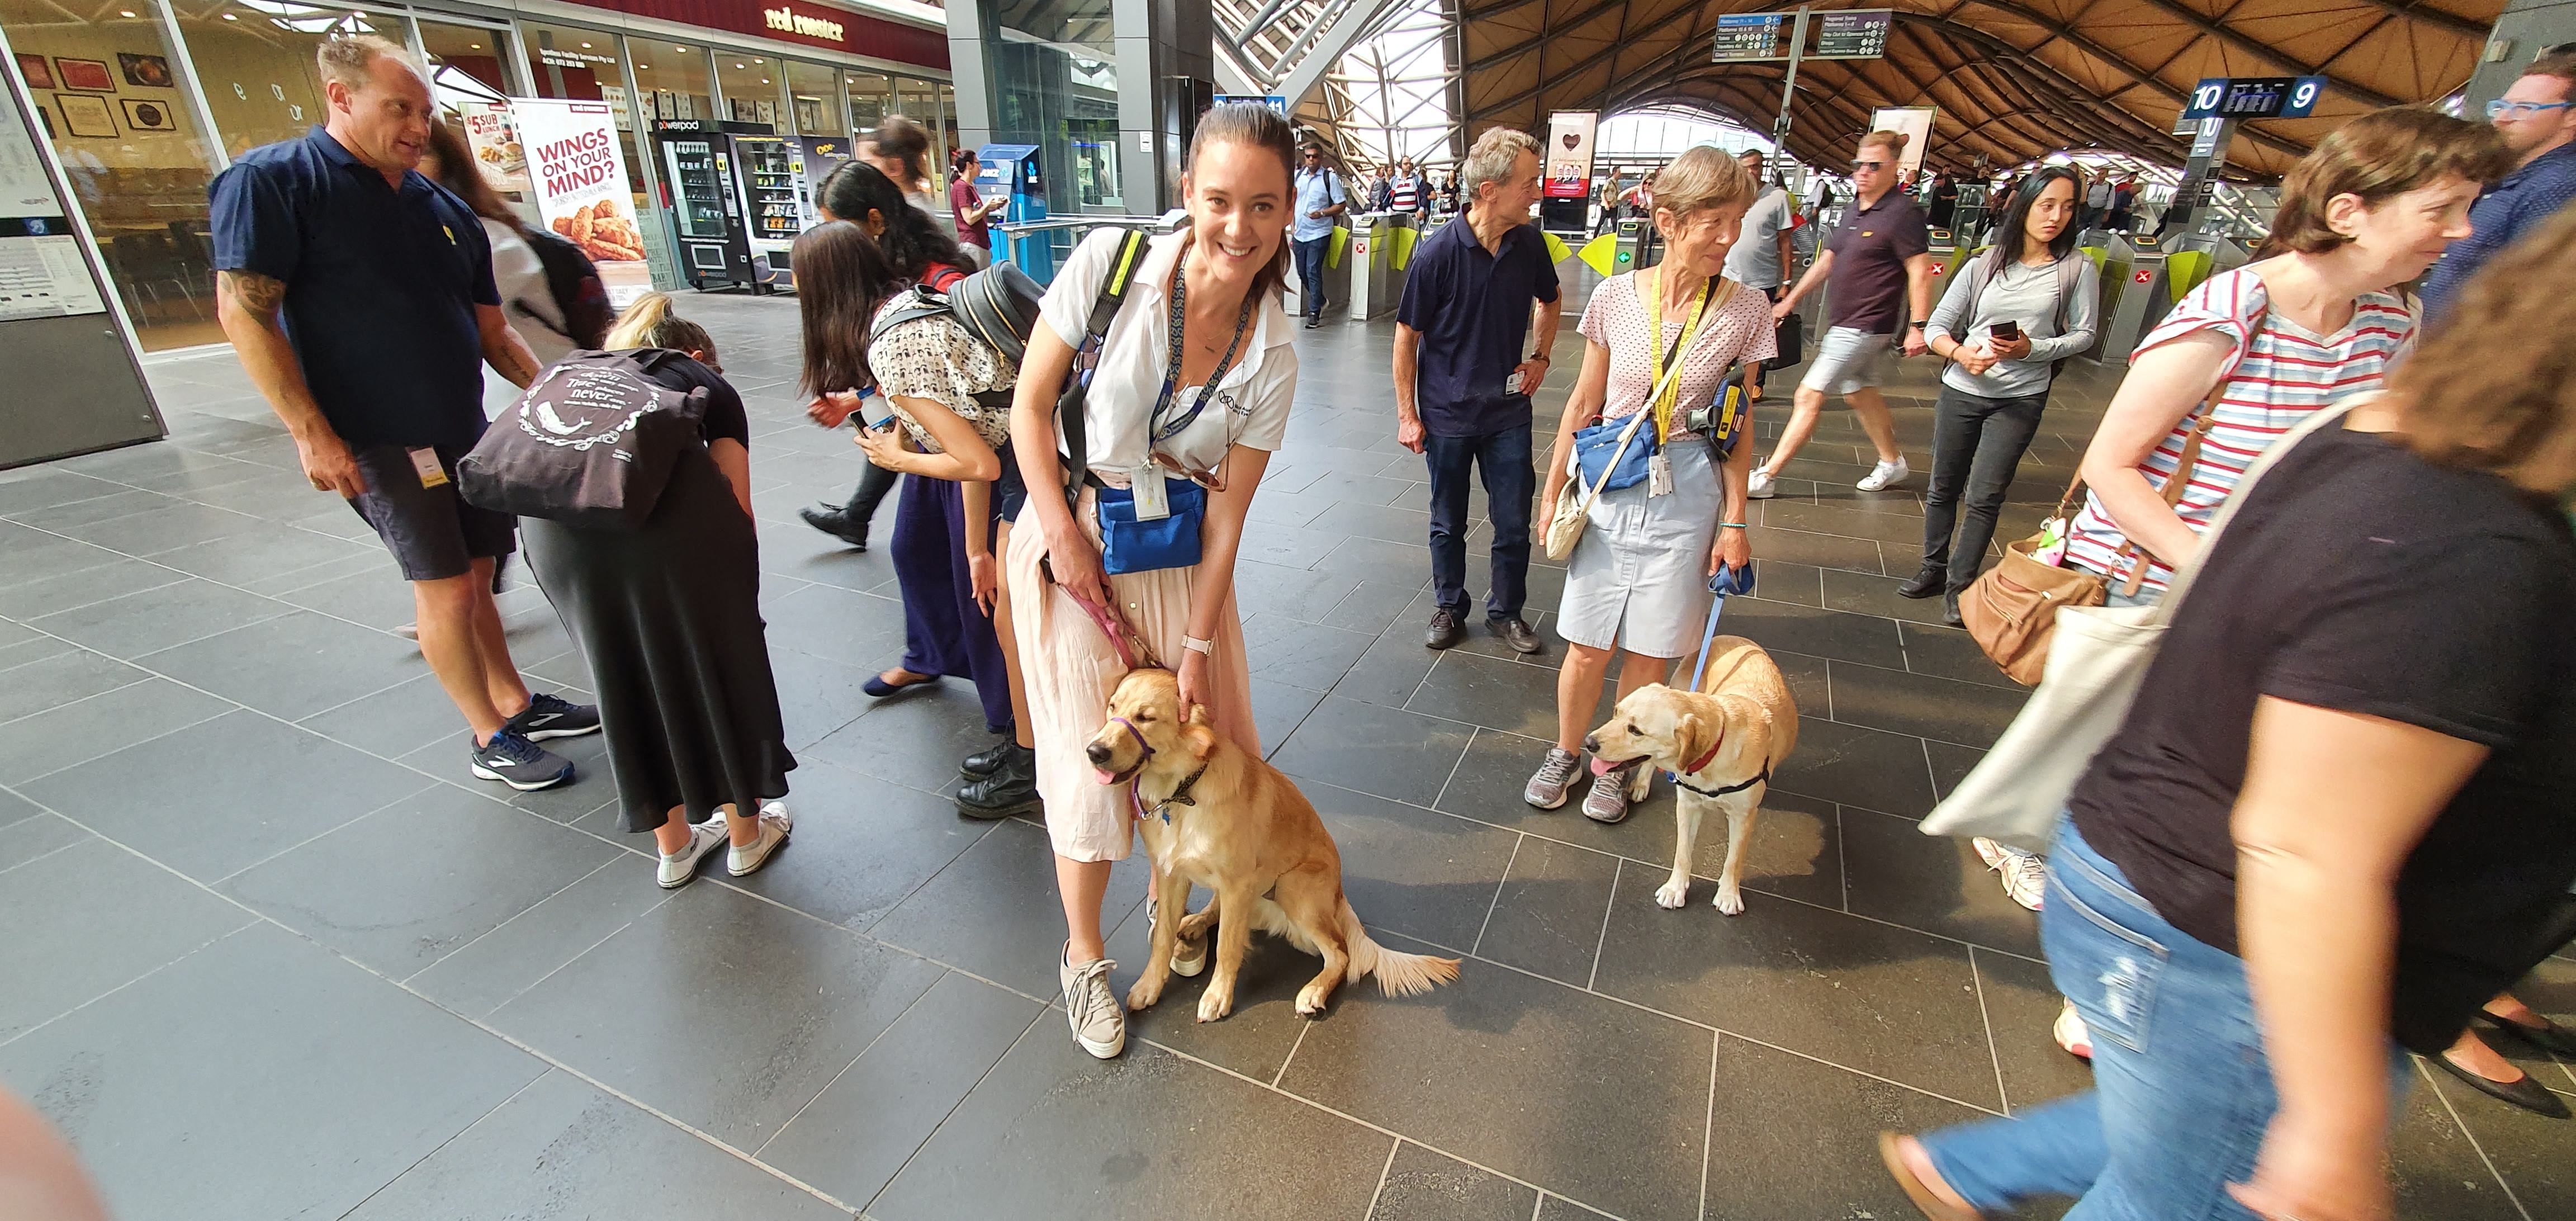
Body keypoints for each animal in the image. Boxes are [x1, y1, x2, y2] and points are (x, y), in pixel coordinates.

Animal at [1082, 669, 1463, 1020]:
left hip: (1292, 886)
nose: (1094, 752)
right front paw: (1149, 986)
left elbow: (1227, 947)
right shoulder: (1170, 874)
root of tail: (1340, 896)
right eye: (1112, 707)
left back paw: (1314, 991)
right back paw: (1196, 922)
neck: (1182, 794)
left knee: (1340, 953)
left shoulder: (1236, 884)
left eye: (1145, 717)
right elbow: (1162, 937)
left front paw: (1218, 996)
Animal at [1576, 638, 1803, 917]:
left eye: (1636, 730)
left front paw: (1729, 895)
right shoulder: (1687, 804)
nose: (1589, 742)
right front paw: (1675, 889)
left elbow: (1734, 859)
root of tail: (1729, 637)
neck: (1716, 749)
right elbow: (1683, 853)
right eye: (1616, 712)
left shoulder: (1744, 815)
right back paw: (1641, 784)